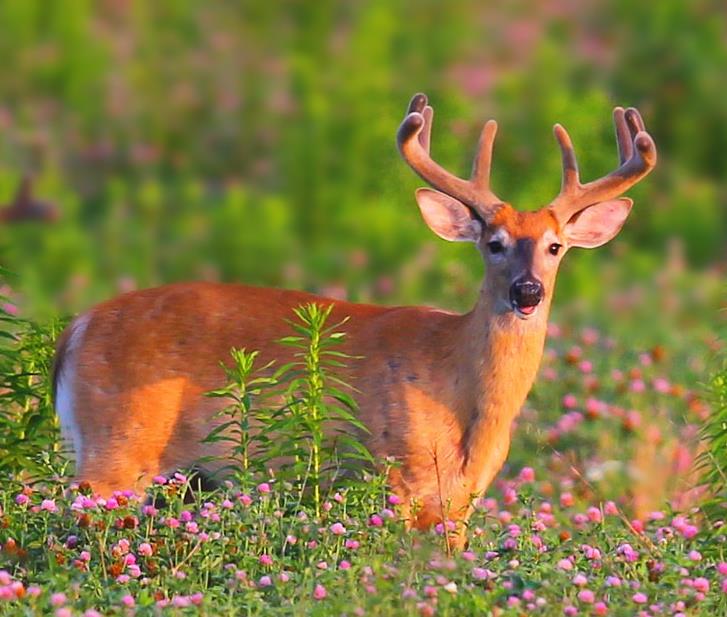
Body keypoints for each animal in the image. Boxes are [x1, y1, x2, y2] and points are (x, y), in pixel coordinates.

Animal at [49, 91, 656, 544]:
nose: (527, 291)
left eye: (556, 246)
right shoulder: (395, 475)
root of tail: (77, 328)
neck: (461, 396)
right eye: (494, 243)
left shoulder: (461, 503)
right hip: (117, 448)